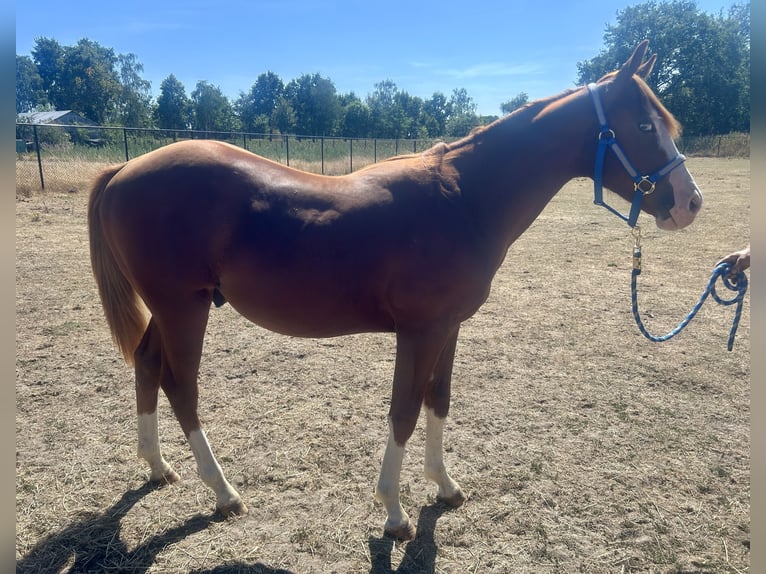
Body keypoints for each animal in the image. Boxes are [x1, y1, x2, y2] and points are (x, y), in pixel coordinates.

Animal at [88, 41, 702, 541]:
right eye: (643, 127)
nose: (690, 203)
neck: (465, 198)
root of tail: (124, 170)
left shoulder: (449, 327)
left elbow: (438, 400)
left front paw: (445, 486)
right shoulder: (420, 330)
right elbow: (404, 409)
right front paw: (394, 512)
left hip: (170, 310)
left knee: (147, 363)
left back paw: (158, 468)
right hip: (183, 307)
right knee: (180, 385)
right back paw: (223, 493)